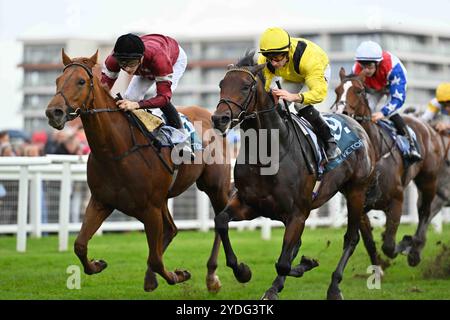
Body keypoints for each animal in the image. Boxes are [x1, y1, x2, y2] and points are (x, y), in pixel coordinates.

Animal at [44, 51, 232, 294]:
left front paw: (178, 275)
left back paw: (214, 277)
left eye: (81, 81)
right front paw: (97, 264)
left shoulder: (150, 208)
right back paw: (152, 279)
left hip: (214, 186)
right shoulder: (101, 201)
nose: (53, 112)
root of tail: (211, 117)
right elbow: (80, 245)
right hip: (164, 198)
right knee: (172, 229)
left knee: (219, 222)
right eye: (57, 80)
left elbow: (156, 258)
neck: (116, 151)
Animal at [211, 55, 376, 300]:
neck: (269, 153)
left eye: (246, 86)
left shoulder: (297, 213)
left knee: (351, 237)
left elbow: (283, 263)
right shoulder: (249, 204)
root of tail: (357, 125)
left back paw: (334, 287)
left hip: (356, 191)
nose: (219, 119)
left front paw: (304, 266)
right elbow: (221, 221)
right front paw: (242, 271)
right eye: (221, 84)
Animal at [332, 69, 444, 268]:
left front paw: (406, 243)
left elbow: (390, 245)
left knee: (425, 212)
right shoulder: (359, 204)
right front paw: (378, 266)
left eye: (359, 91)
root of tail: (428, 127)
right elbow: (369, 241)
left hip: (428, 180)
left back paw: (415, 251)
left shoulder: (397, 201)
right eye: (337, 90)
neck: (374, 152)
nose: (341, 112)